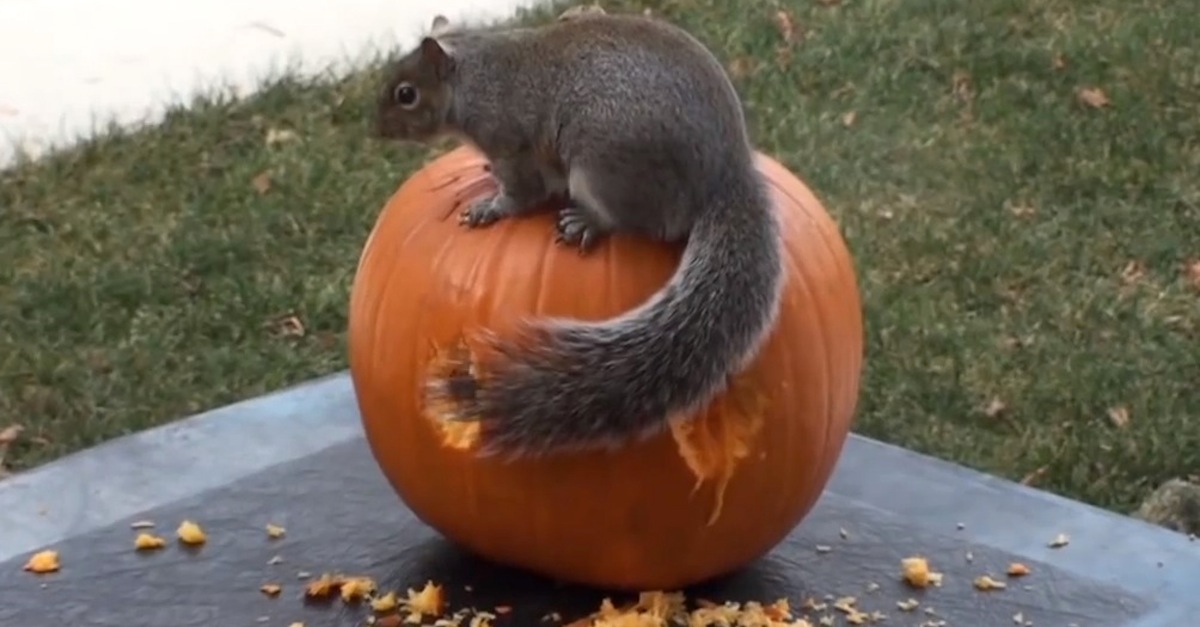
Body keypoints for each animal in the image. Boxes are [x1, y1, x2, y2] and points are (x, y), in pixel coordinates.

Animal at [374, 8, 787, 458]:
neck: (474, 74)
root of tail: (726, 174)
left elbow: (522, 193)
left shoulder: (512, 145)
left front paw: (491, 208)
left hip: (604, 164)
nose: (375, 128)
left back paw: (587, 223)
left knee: (639, 221)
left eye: (407, 94)